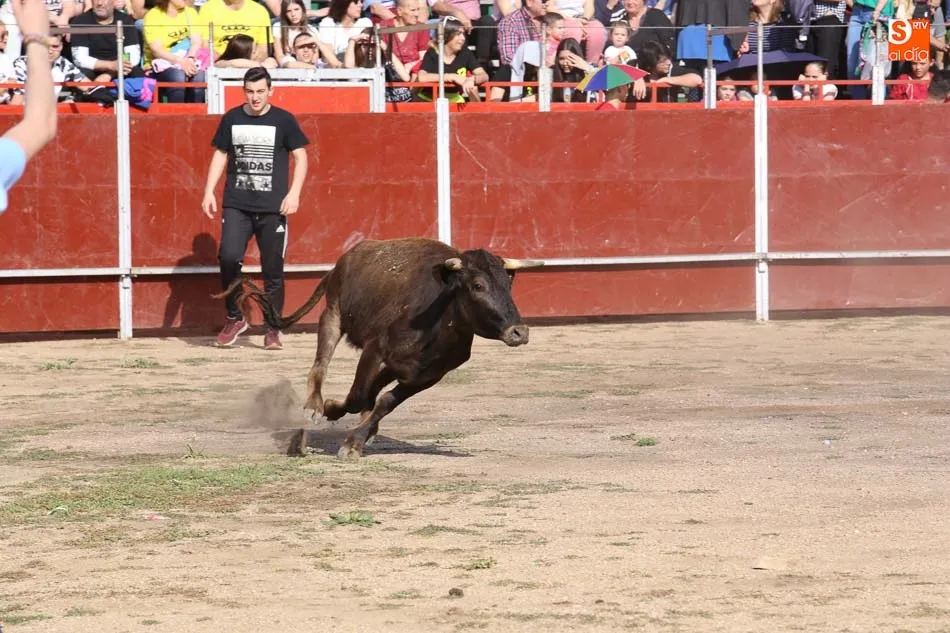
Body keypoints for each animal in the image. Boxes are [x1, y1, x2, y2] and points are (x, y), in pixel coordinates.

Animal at [218, 237, 543, 458]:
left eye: (508, 285)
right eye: (477, 286)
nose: (519, 332)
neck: (437, 322)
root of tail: (346, 258)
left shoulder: (427, 376)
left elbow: (384, 402)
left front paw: (356, 440)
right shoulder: (374, 350)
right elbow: (358, 395)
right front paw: (333, 411)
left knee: (373, 391)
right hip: (332, 315)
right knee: (321, 364)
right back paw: (314, 406)